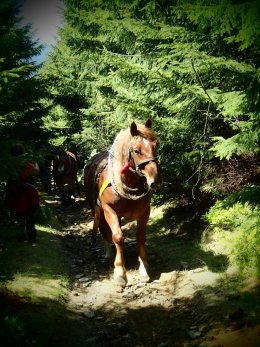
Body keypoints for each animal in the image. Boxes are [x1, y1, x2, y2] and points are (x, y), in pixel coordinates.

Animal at [83, 118, 160, 286]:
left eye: (155, 146)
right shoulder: (109, 209)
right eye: (137, 150)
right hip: (97, 209)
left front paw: (144, 268)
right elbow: (118, 237)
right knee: (103, 228)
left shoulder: (145, 211)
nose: (155, 180)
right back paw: (108, 253)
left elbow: (141, 237)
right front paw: (120, 272)